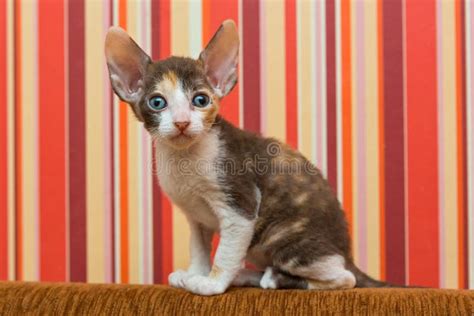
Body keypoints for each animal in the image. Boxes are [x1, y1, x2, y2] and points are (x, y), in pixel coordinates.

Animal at [105, 19, 390, 296]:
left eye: (200, 100)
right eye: (157, 103)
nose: (182, 122)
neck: (184, 157)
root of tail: (347, 254)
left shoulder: (240, 205)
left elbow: (226, 254)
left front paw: (211, 284)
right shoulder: (195, 215)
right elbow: (198, 247)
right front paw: (195, 273)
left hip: (286, 240)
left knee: (344, 278)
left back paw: (274, 278)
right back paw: (248, 276)